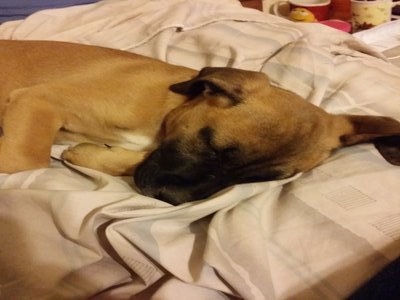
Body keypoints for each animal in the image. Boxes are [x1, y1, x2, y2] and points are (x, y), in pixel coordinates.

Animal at [0, 39, 400, 204]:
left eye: (258, 179)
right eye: (211, 143)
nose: (170, 201)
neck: (169, 106)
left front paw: (90, 154)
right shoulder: (38, 99)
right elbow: (26, 156)